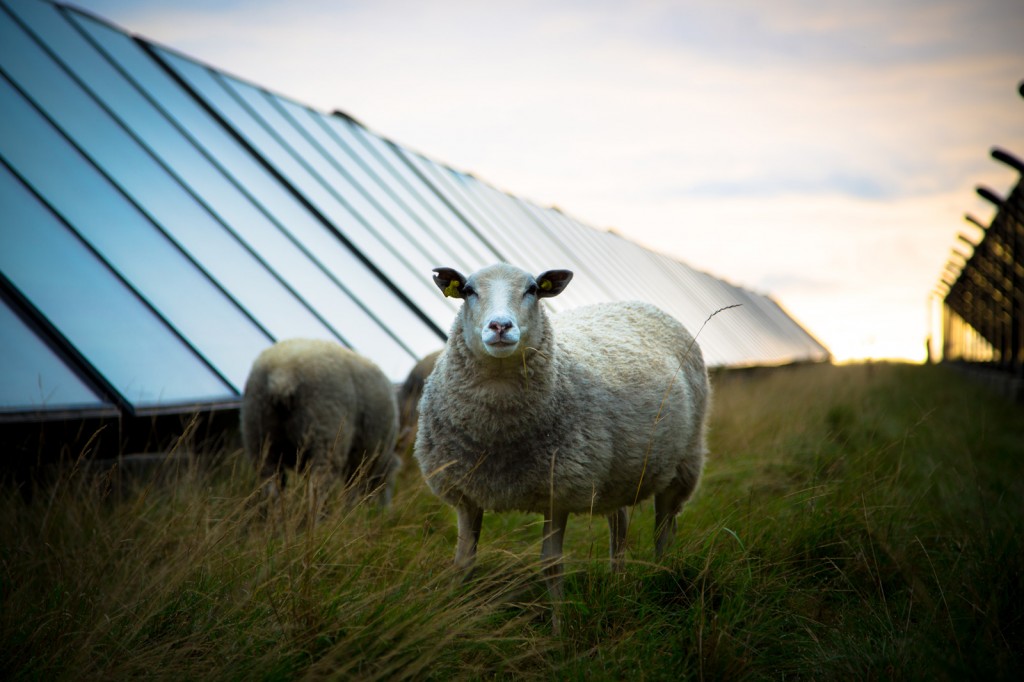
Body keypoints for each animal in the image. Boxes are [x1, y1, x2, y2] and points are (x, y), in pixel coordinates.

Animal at [239, 337, 399, 503]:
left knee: (271, 487)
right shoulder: (360, 466)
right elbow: (351, 497)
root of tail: (283, 374)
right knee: (317, 487)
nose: (386, 509)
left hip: (258, 435)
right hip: (327, 436)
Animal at [411, 261, 708, 626]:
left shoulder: (559, 492)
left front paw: (559, 629)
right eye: (468, 290)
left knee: (663, 528)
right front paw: (450, 613)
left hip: (684, 464)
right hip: (618, 473)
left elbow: (551, 565)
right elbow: (464, 562)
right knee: (619, 526)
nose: (500, 326)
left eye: (533, 290)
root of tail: (637, 302)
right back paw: (619, 581)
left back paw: (664, 575)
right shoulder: (466, 495)